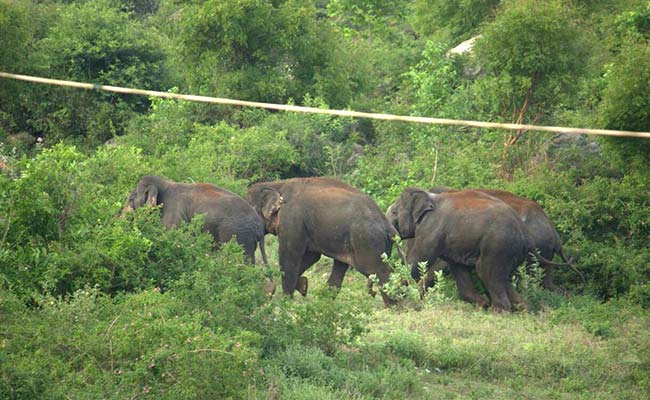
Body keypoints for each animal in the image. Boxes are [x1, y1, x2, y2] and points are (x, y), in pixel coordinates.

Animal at [246, 177, 398, 304]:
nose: (268, 291)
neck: (276, 184)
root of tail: (388, 226)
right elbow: (311, 256)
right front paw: (303, 286)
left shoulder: (291, 220)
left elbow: (289, 255)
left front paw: (287, 301)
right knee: (342, 268)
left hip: (367, 241)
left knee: (378, 272)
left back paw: (395, 308)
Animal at [384, 188, 528, 312]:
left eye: (394, 212)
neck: (428, 196)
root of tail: (521, 229)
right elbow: (458, 268)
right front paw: (483, 303)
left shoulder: (431, 229)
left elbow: (418, 261)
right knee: (502, 276)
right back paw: (522, 308)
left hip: (496, 243)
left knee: (486, 271)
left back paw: (499, 311)